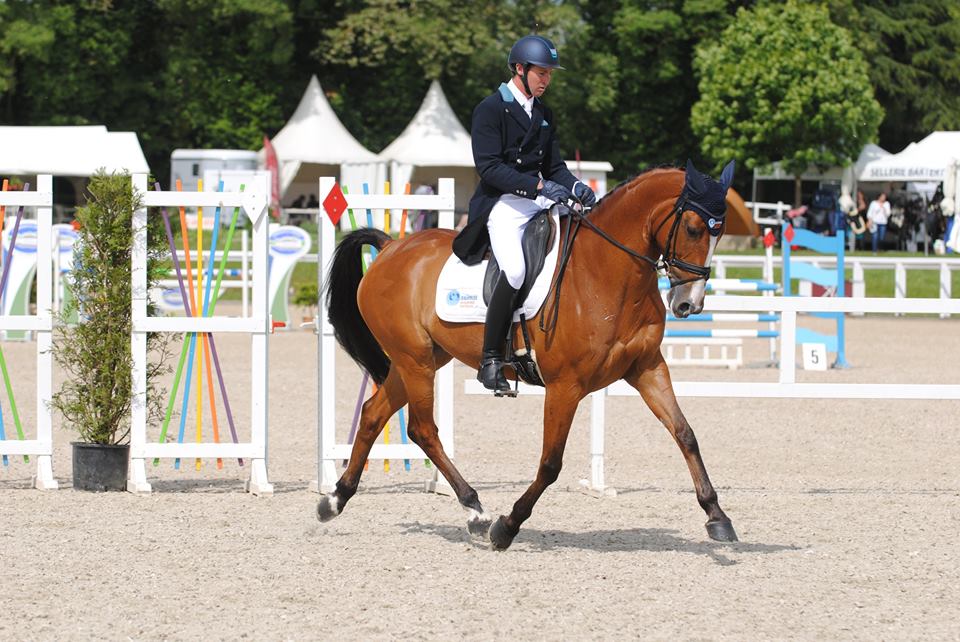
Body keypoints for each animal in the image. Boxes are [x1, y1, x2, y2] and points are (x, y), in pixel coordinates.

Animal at [318, 158, 740, 548]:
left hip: (422, 360)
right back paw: (475, 510)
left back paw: (335, 499)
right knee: (422, 429)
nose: (689, 304)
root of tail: (392, 246)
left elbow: (685, 434)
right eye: (693, 228)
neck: (606, 271)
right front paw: (506, 526)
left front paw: (717, 516)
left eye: (720, 232)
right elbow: (550, 463)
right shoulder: (565, 386)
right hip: (415, 360)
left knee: (373, 414)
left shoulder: (647, 367)